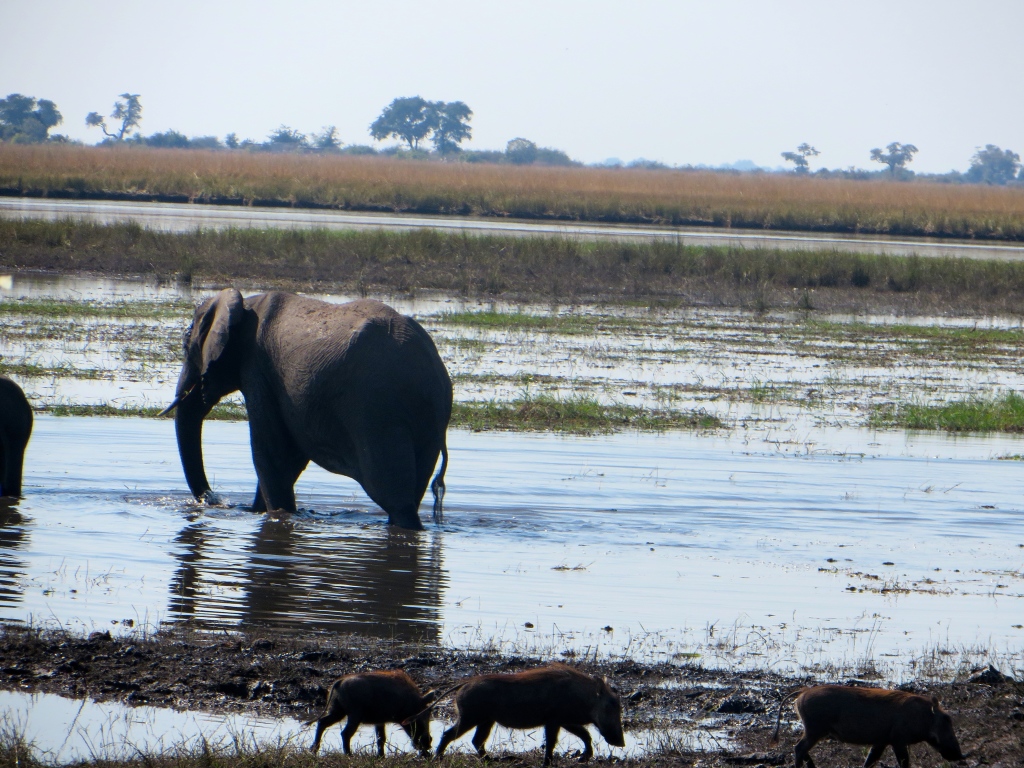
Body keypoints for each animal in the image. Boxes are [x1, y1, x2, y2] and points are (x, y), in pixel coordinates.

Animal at [162, 290, 452, 532]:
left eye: (186, 344)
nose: (216, 501)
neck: (244, 304)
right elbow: (291, 456)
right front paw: (262, 513)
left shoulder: (258, 369)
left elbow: (270, 451)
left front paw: (276, 513)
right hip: (426, 421)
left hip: (378, 413)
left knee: (394, 496)